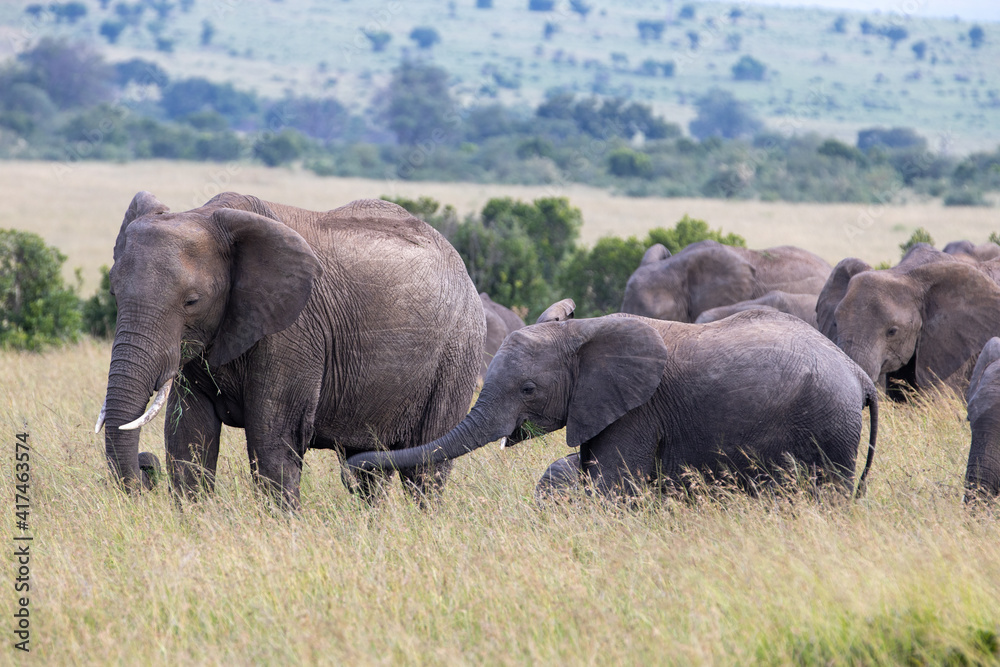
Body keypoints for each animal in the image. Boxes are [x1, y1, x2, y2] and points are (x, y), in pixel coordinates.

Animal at [95, 190, 486, 508]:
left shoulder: (294, 331)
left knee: (426, 468)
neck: (207, 216)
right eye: (114, 293)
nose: (145, 468)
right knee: (367, 472)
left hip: (458, 352)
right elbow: (189, 437)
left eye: (192, 301)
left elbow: (272, 439)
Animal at [348, 308, 880, 500]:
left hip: (828, 427)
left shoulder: (638, 410)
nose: (354, 463)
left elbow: (612, 488)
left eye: (527, 389)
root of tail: (857, 374)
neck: (584, 331)